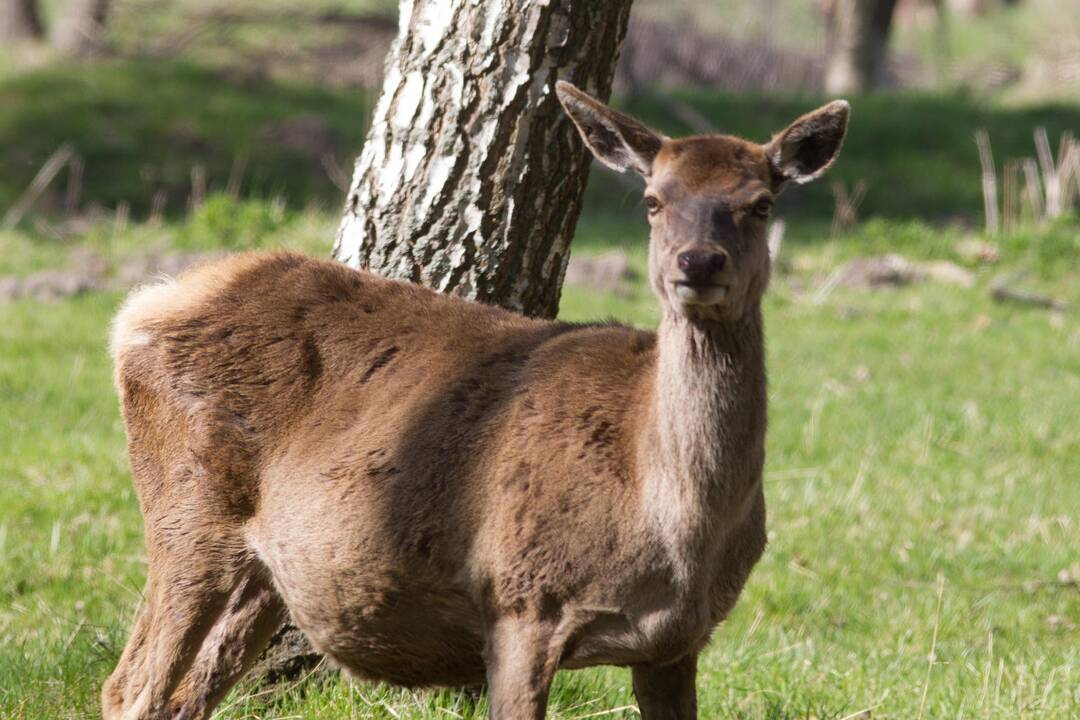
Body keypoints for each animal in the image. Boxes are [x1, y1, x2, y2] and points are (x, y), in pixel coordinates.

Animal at [101, 80, 846, 720]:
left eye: (762, 203)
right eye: (653, 200)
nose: (698, 262)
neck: (669, 520)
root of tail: (143, 307)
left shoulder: (678, 642)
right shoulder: (520, 598)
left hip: (263, 572)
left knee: (185, 696)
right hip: (187, 512)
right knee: (129, 687)